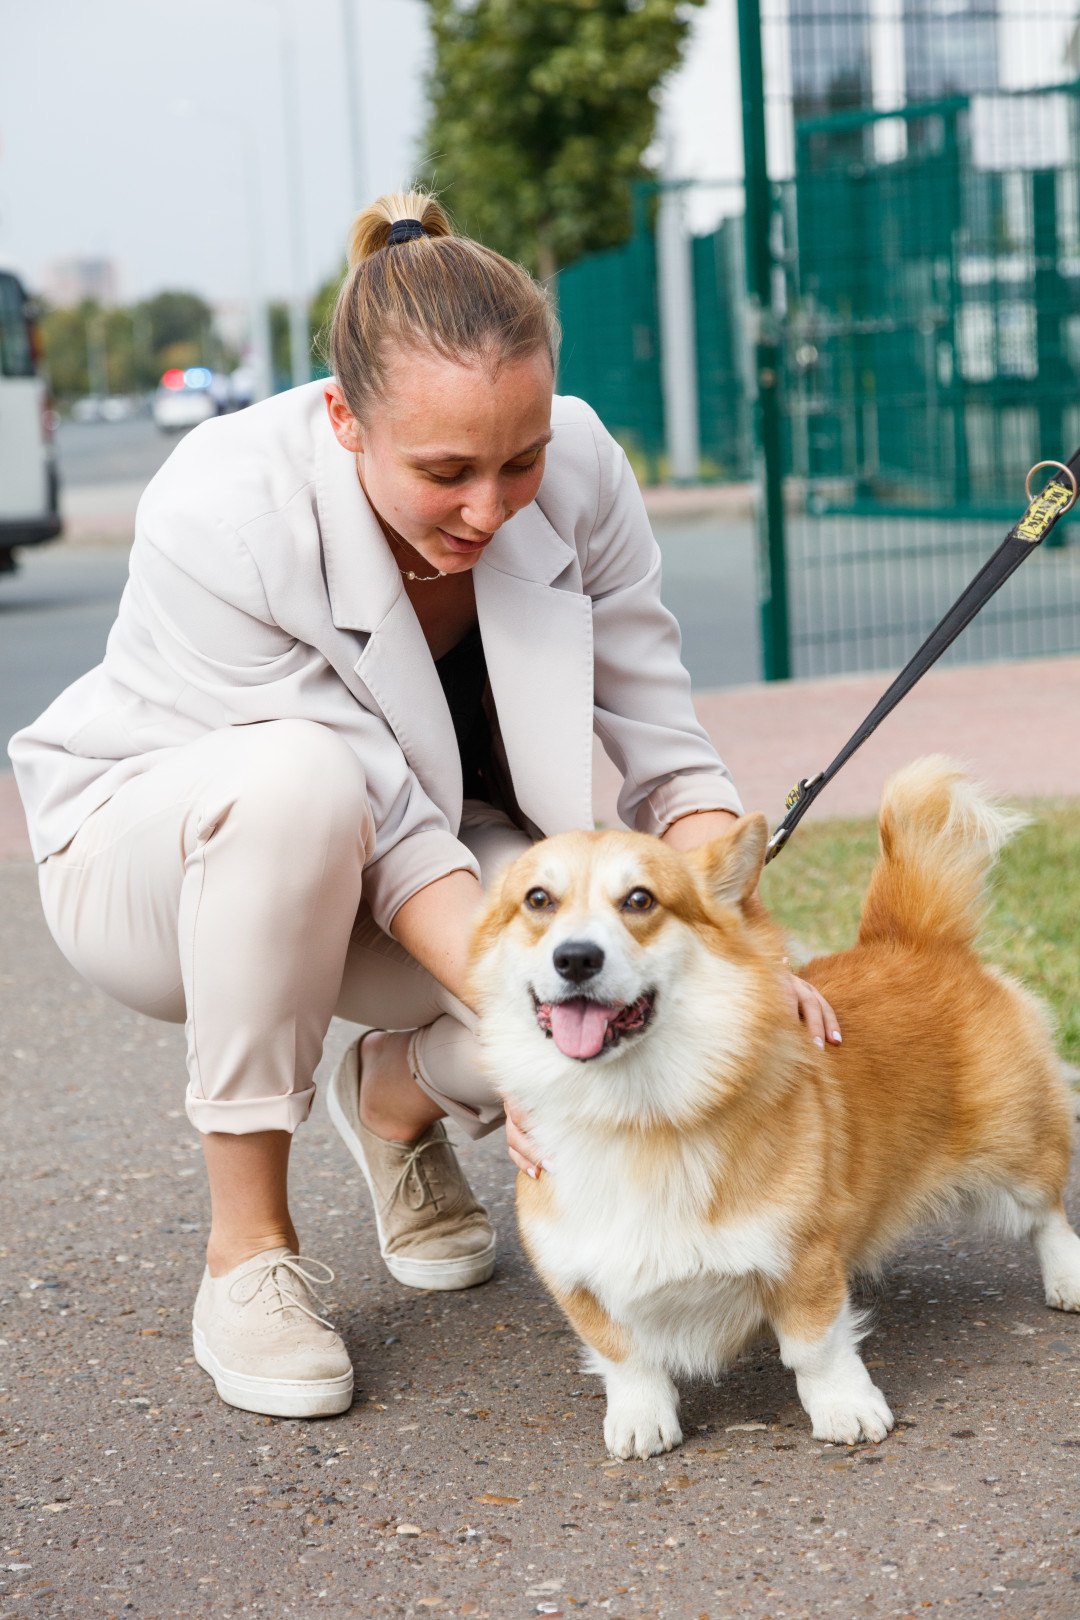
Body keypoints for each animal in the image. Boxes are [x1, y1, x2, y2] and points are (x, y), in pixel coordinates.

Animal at [469, 764, 1080, 1464]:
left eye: (641, 900)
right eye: (538, 900)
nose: (574, 958)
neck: (637, 1115)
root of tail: (915, 938)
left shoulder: (803, 1255)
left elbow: (816, 1347)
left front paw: (847, 1409)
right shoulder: (576, 1276)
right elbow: (625, 1357)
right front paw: (641, 1418)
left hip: (1014, 1146)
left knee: (1047, 1213)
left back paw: (1069, 1278)